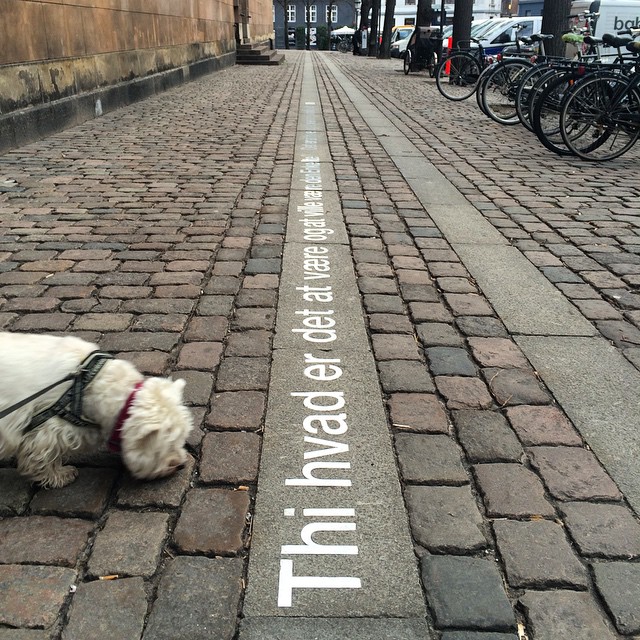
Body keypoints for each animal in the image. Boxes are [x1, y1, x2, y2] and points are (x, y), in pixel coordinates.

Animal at [0, 332, 192, 488]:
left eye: (183, 438)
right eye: (170, 443)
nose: (181, 464)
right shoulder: (46, 428)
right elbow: (43, 456)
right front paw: (59, 475)